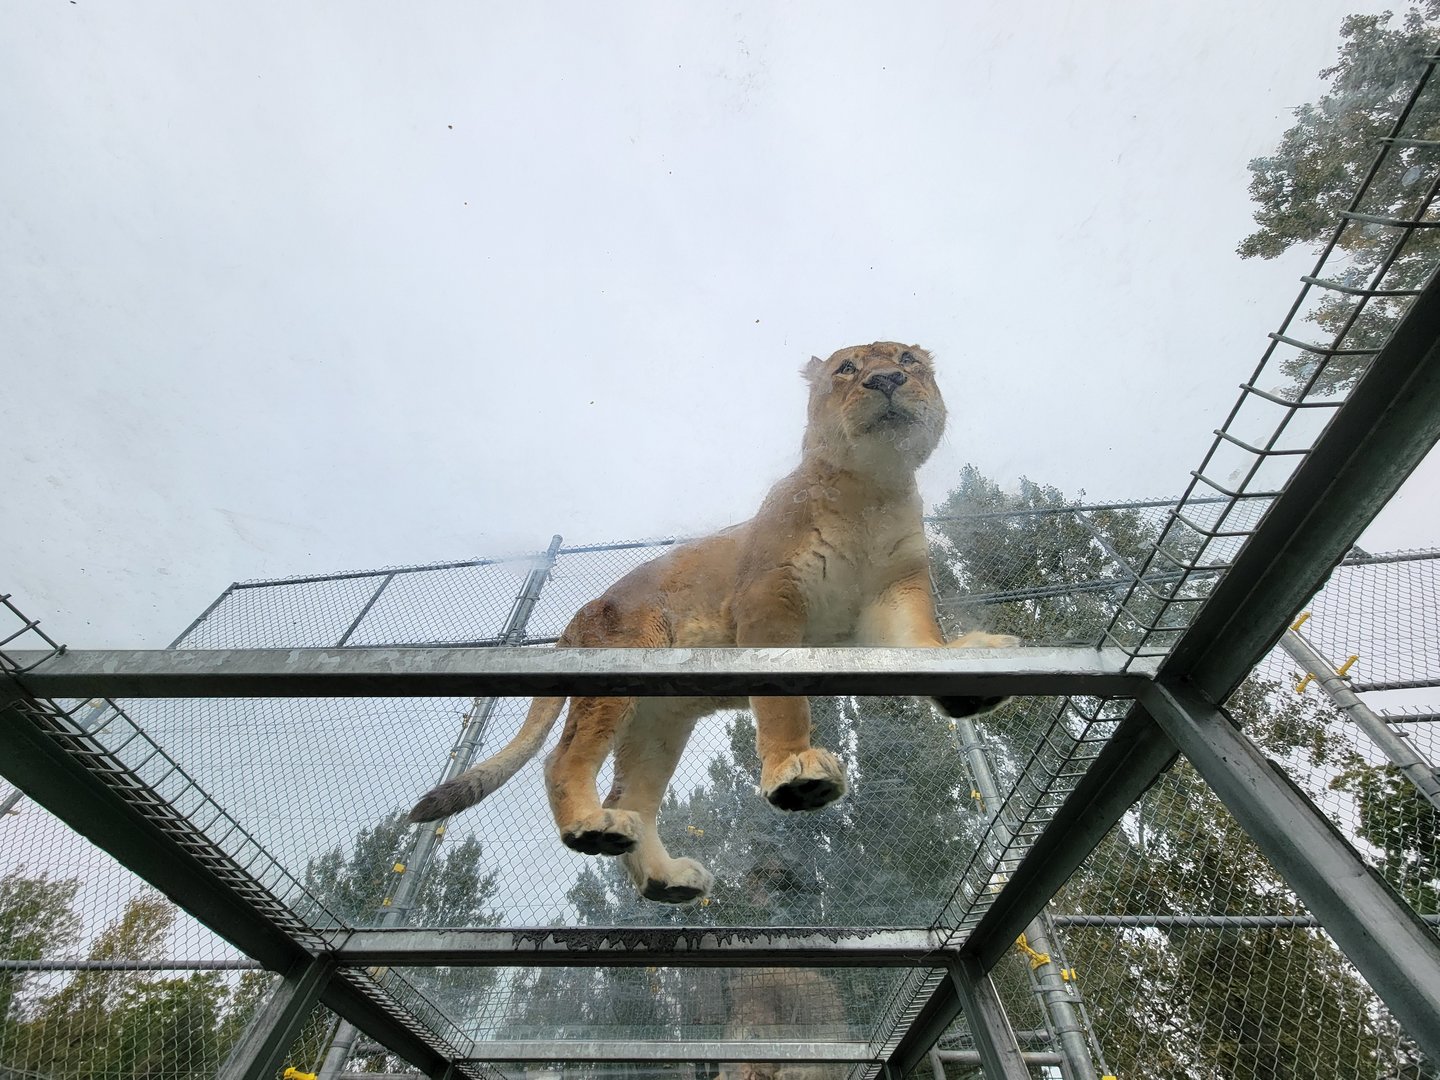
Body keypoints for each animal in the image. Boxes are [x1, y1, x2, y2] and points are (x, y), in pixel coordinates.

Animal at [409, 342, 1017, 904]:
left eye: (907, 360)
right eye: (847, 368)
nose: (887, 379)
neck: (871, 490)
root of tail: (583, 612)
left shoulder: (894, 593)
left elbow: (922, 642)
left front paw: (968, 663)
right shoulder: (768, 600)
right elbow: (782, 703)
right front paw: (795, 769)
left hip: (658, 725)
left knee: (629, 795)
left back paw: (662, 877)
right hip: (620, 673)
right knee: (563, 760)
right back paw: (592, 828)